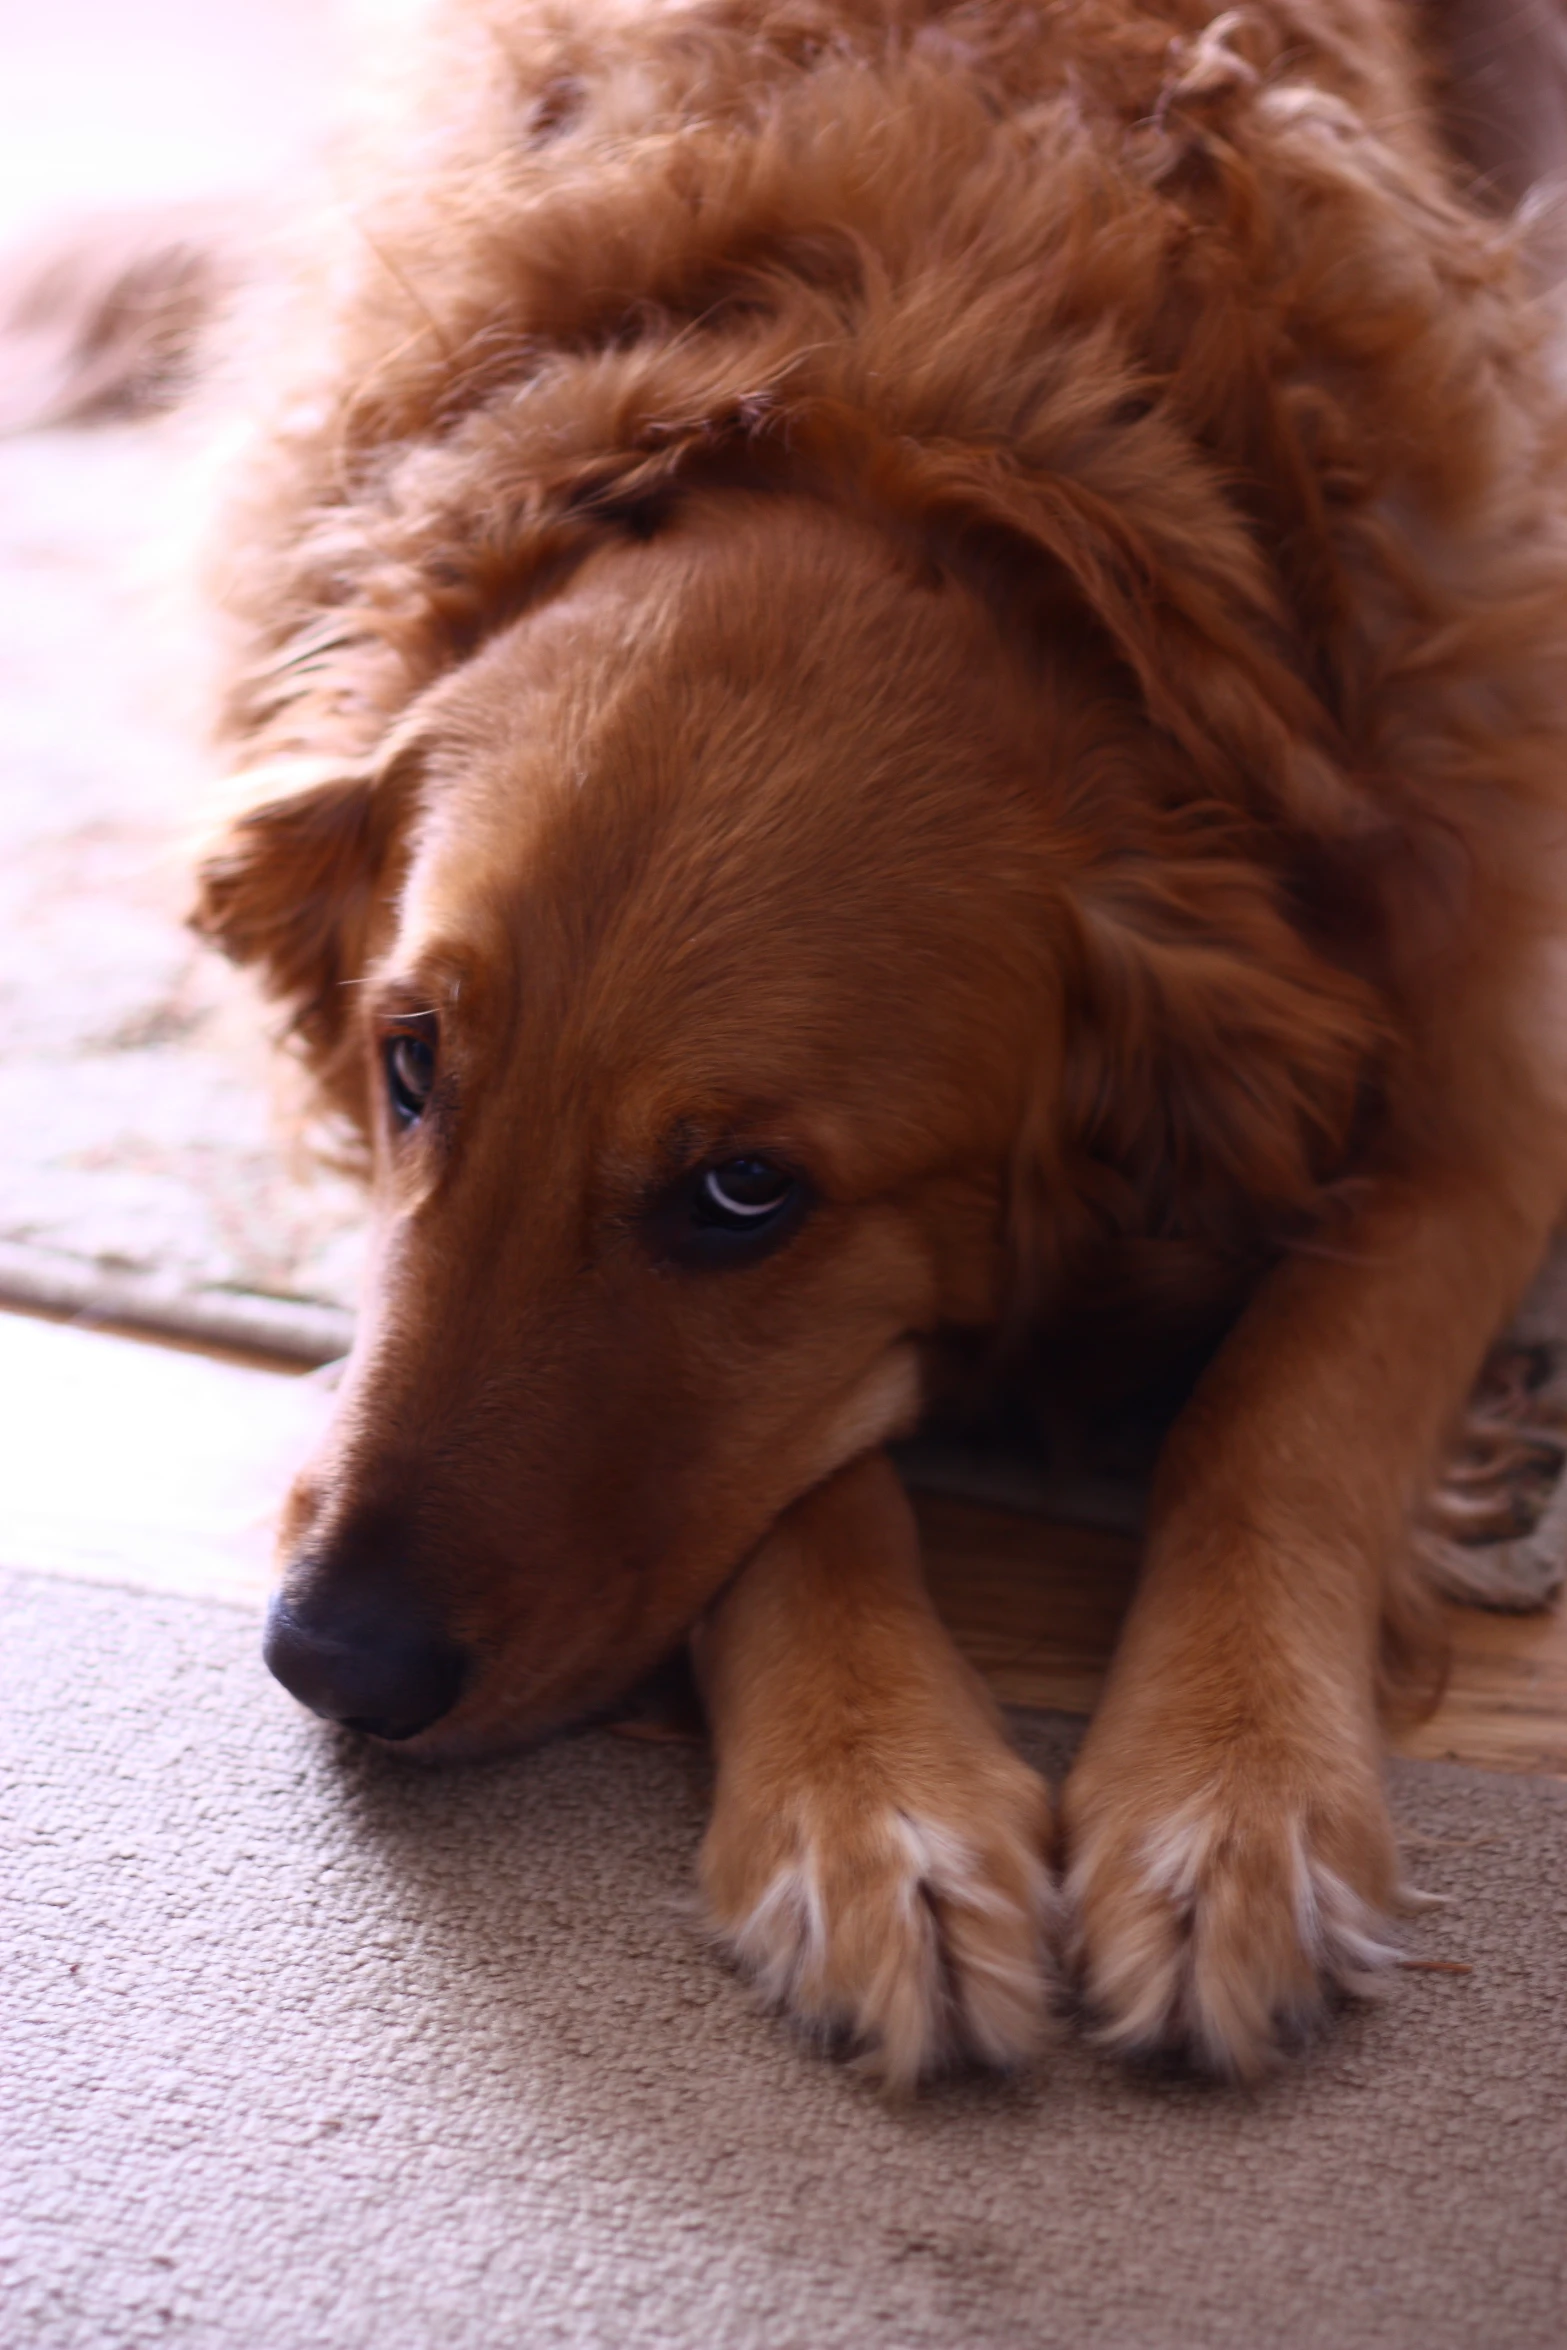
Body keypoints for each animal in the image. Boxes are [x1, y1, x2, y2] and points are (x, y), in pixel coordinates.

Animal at [190, 0, 1567, 2086]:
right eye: (409, 1062)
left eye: (743, 1194)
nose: (327, 1660)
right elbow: (800, 1479)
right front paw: (877, 1812)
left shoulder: (1477, 1065)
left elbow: (1274, 1417)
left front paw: (1229, 1800)